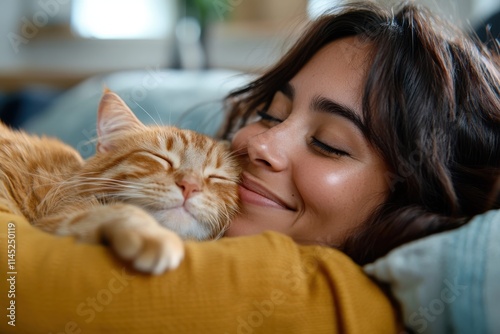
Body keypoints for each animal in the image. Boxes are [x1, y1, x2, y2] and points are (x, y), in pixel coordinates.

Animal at [0, 91, 240, 274]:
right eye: (161, 159)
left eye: (216, 177)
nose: (190, 186)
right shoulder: (52, 222)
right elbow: (124, 210)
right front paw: (155, 235)